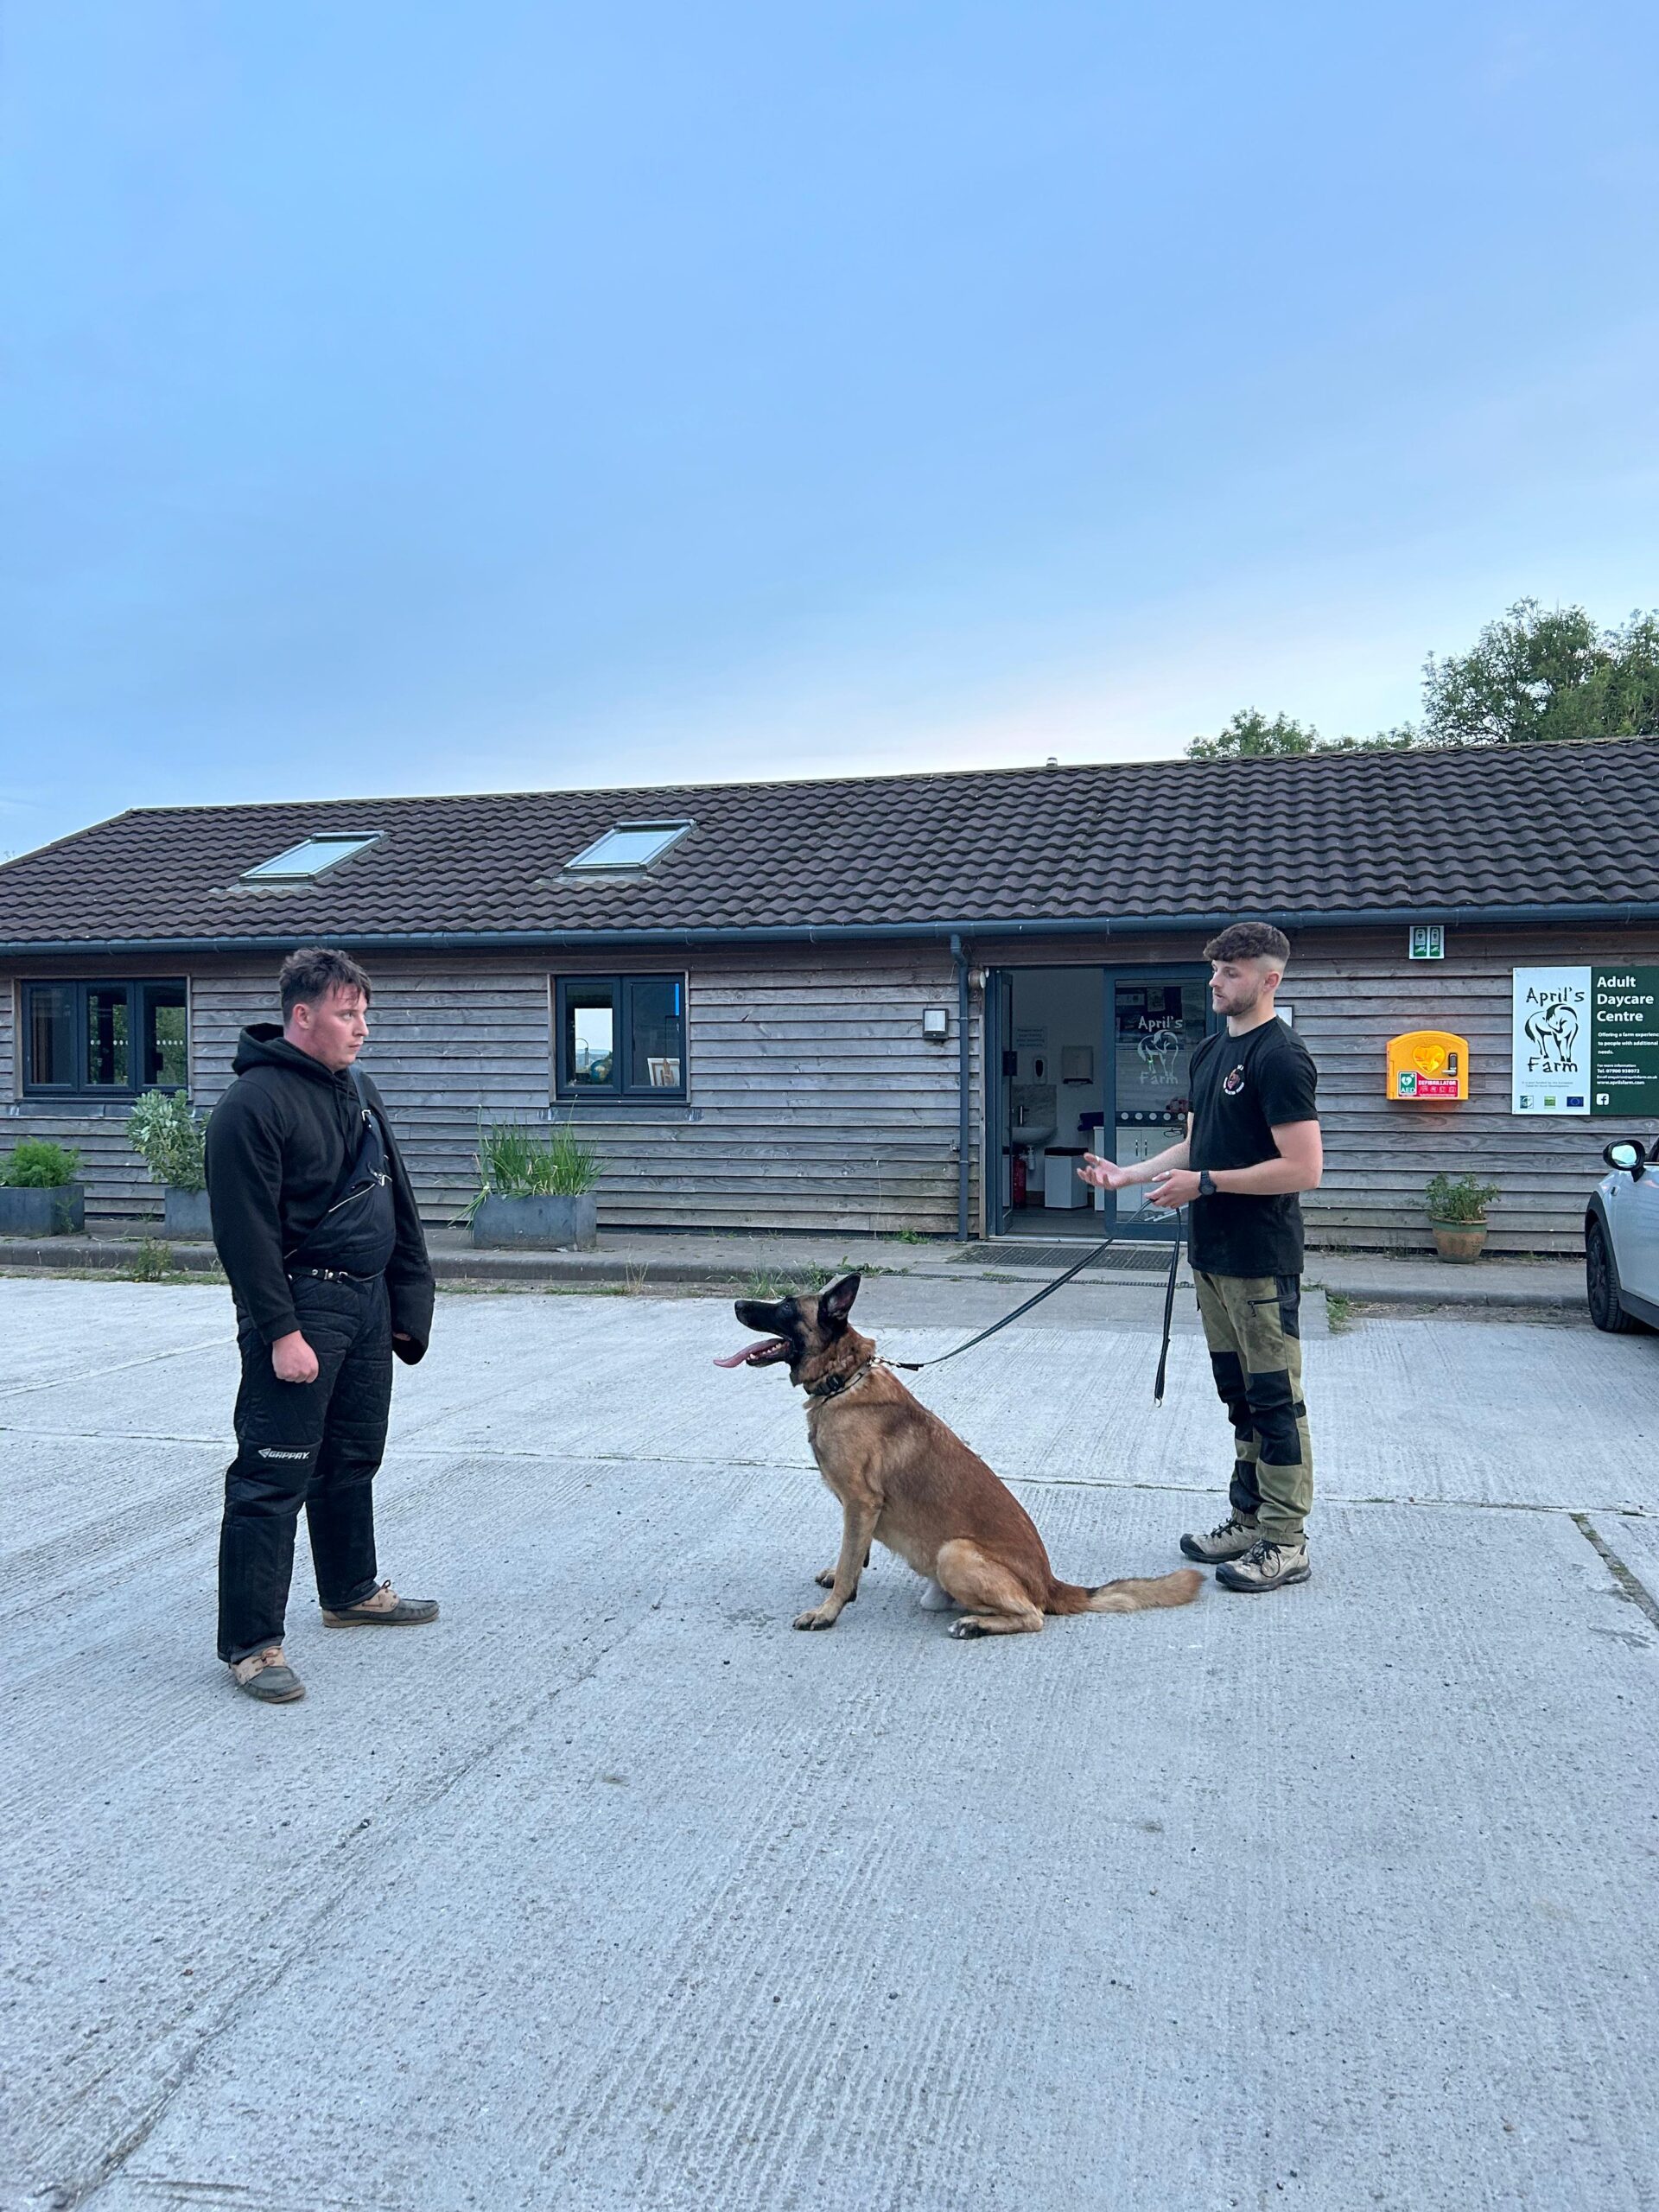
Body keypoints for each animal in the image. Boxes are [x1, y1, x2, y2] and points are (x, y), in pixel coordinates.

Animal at [716, 1272, 1201, 1639]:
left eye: (784, 1307)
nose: (737, 1302)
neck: (844, 1380)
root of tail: (1051, 1584)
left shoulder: (860, 1502)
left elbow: (851, 1557)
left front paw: (829, 1610)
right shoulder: (860, 1510)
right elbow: (854, 1555)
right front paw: (841, 1578)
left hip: (955, 1552)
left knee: (1034, 1617)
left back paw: (976, 1624)